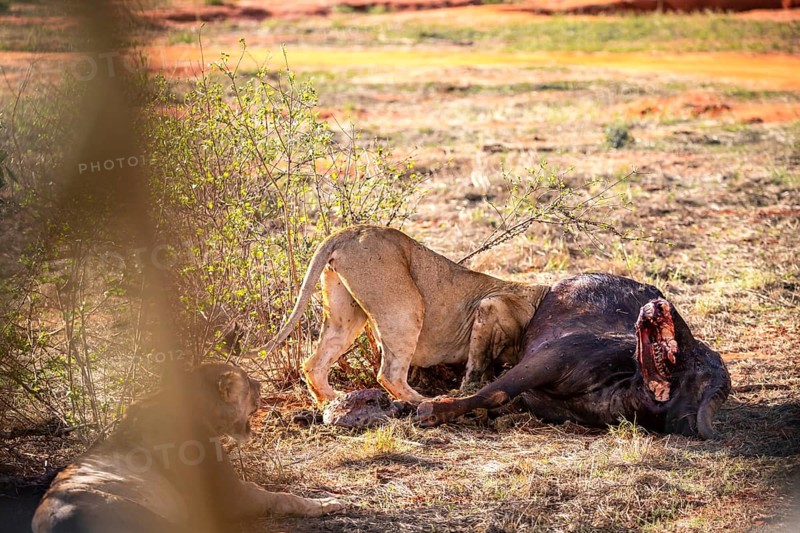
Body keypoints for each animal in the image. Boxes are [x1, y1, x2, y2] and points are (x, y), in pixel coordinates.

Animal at [255, 225, 549, 404]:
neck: (540, 295)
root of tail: (348, 232)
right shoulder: (491, 305)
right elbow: (477, 362)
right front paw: (468, 390)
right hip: (407, 307)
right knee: (389, 374)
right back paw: (424, 401)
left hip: (344, 315)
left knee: (313, 363)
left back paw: (331, 400)